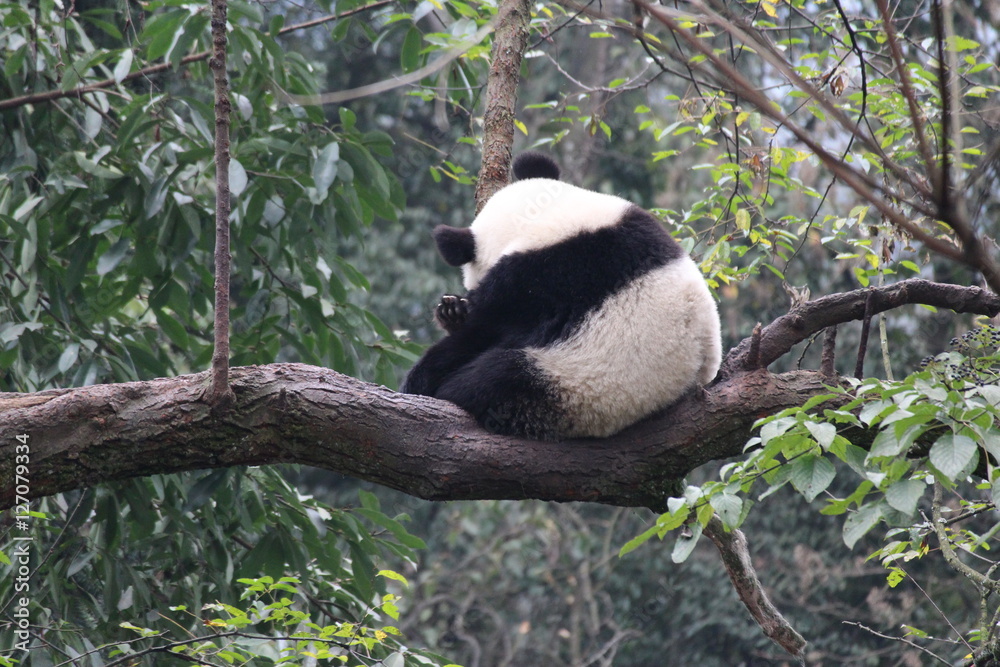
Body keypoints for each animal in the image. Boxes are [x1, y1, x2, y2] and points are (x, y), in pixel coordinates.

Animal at [401, 152, 722, 441]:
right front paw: (452, 310)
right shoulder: (635, 220)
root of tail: (687, 383)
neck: (544, 216)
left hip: (575, 384)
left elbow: (485, 330)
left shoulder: (532, 281)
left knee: (493, 378)